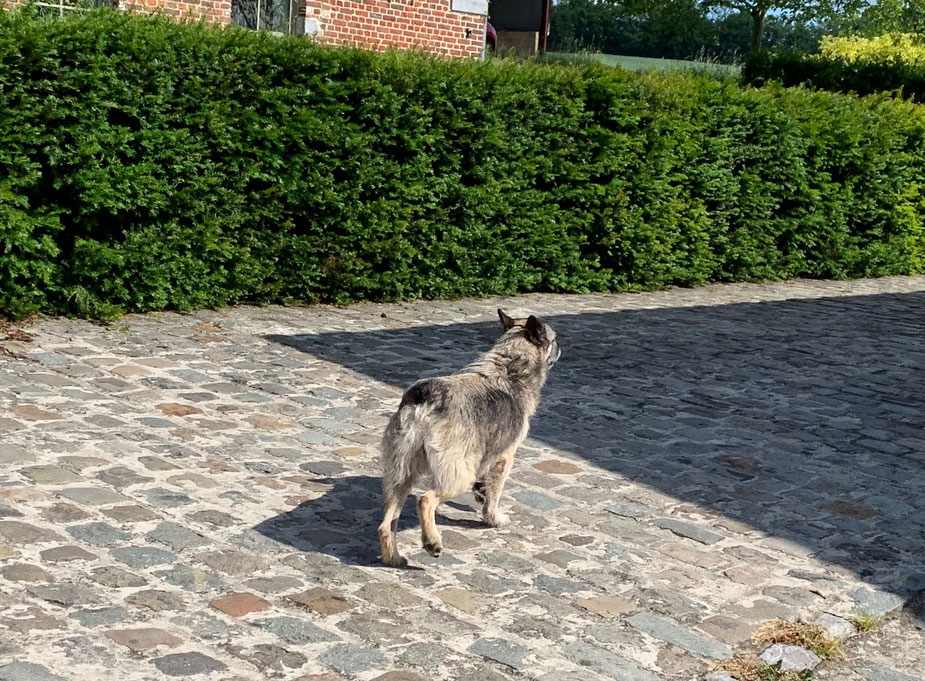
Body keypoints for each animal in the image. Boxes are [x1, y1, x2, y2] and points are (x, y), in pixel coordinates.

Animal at [378, 310, 564, 564]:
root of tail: (426, 398)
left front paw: (481, 493)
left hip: (400, 472)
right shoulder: (505, 457)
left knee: (387, 523)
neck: (510, 364)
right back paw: (432, 542)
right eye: (554, 340)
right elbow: (495, 492)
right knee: (425, 500)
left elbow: (485, 483)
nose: (561, 347)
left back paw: (394, 557)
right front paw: (493, 518)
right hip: (457, 474)